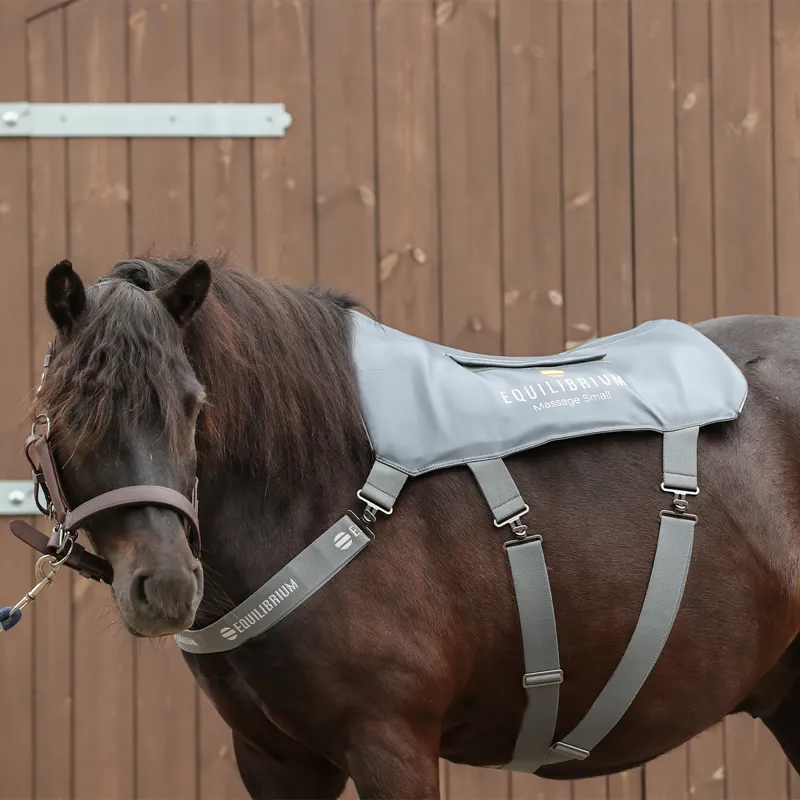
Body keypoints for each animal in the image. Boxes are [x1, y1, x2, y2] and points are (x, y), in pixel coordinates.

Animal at [12, 252, 800, 799]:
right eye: (69, 408)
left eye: (192, 403)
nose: (169, 584)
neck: (327, 484)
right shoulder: (275, 760)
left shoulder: (391, 745)